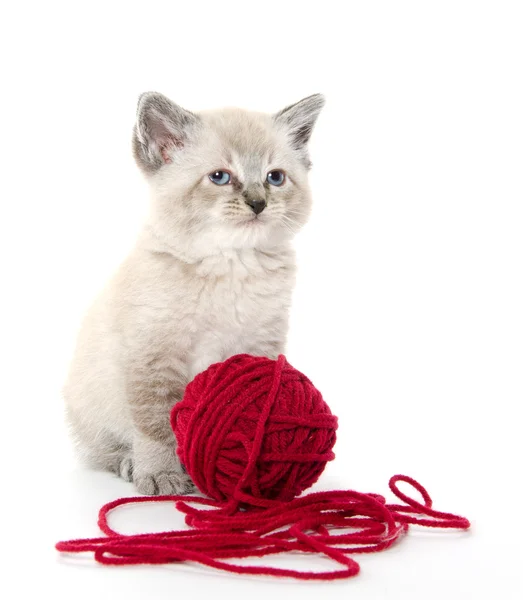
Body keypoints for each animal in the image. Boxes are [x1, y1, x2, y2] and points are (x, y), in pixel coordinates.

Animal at [63, 89, 326, 492]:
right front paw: (162, 475)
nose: (258, 203)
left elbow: (261, 404)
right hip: (91, 398)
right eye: (220, 177)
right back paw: (130, 464)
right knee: (102, 450)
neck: (232, 265)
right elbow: (156, 425)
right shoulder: (154, 357)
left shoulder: (260, 346)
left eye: (275, 177)